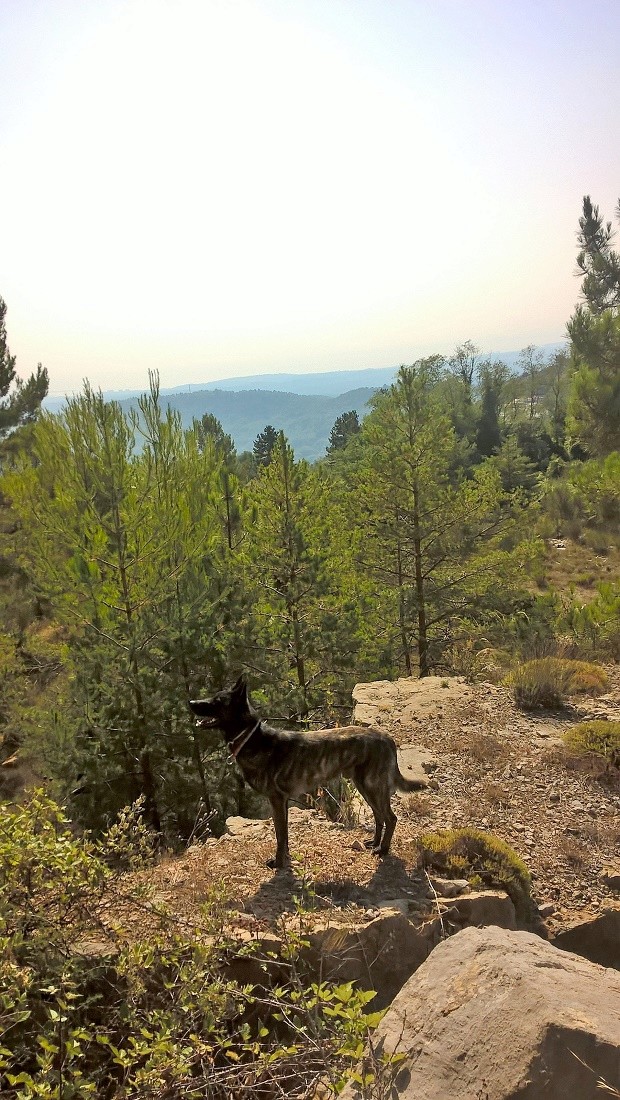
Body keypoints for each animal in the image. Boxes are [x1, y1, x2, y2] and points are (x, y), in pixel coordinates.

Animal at [189, 677, 428, 866]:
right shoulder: (282, 802)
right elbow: (284, 837)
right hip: (365, 787)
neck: (251, 737)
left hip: (373, 786)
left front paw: (278, 863)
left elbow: (280, 836)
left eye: (217, 702)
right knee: (379, 816)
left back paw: (383, 849)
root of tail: (387, 738)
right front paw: (285, 859)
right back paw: (374, 843)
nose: (191, 702)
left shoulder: (276, 800)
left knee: (390, 817)